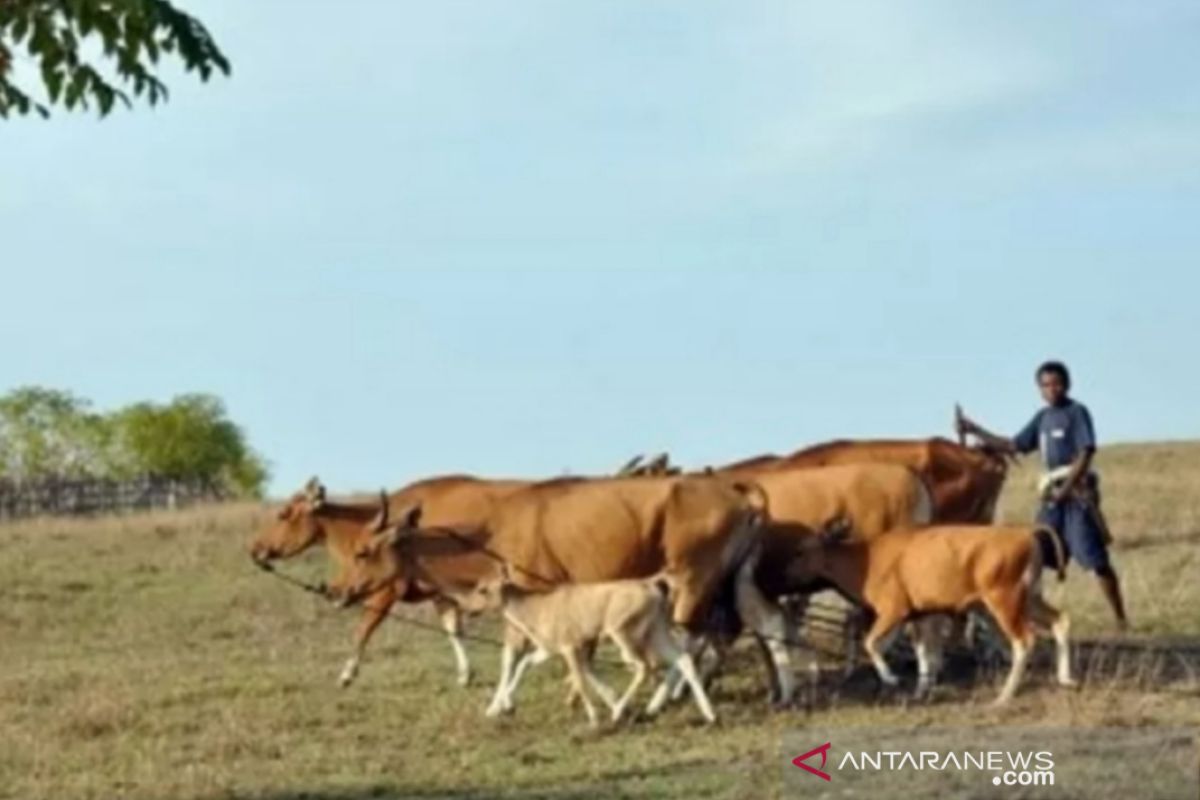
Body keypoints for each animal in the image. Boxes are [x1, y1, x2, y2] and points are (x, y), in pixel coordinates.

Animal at [458, 568, 715, 724]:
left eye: (483, 590)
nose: (466, 608)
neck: (536, 607)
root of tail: (653, 586)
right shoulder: (549, 649)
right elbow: (525, 664)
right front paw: (507, 705)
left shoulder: (571, 648)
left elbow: (580, 680)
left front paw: (594, 719)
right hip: (656, 633)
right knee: (683, 659)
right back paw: (710, 714)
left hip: (623, 634)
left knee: (643, 666)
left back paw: (617, 712)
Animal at [792, 522, 1075, 705]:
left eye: (802, 550)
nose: (788, 576)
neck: (867, 558)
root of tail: (1026, 534)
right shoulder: (917, 616)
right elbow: (921, 653)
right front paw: (921, 689)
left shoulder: (893, 611)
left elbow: (871, 643)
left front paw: (891, 679)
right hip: (1030, 600)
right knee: (1060, 620)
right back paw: (1065, 678)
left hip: (1004, 602)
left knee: (1024, 642)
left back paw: (1004, 696)